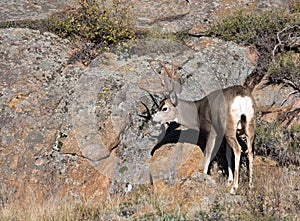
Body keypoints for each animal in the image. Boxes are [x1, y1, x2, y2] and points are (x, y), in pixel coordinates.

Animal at [138, 60, 255, 193]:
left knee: (238, 149)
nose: (153, 120)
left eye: (164, 108)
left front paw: (204, 176)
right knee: (250, 151)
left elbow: (208, 154)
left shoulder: (211, 130)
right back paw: (251, 185)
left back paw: (234, 188)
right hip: (249, 124)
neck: (198, 111)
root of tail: (242, 96)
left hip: (229, 126)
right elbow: (227, 155)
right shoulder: (222, 135)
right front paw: (228, 181)